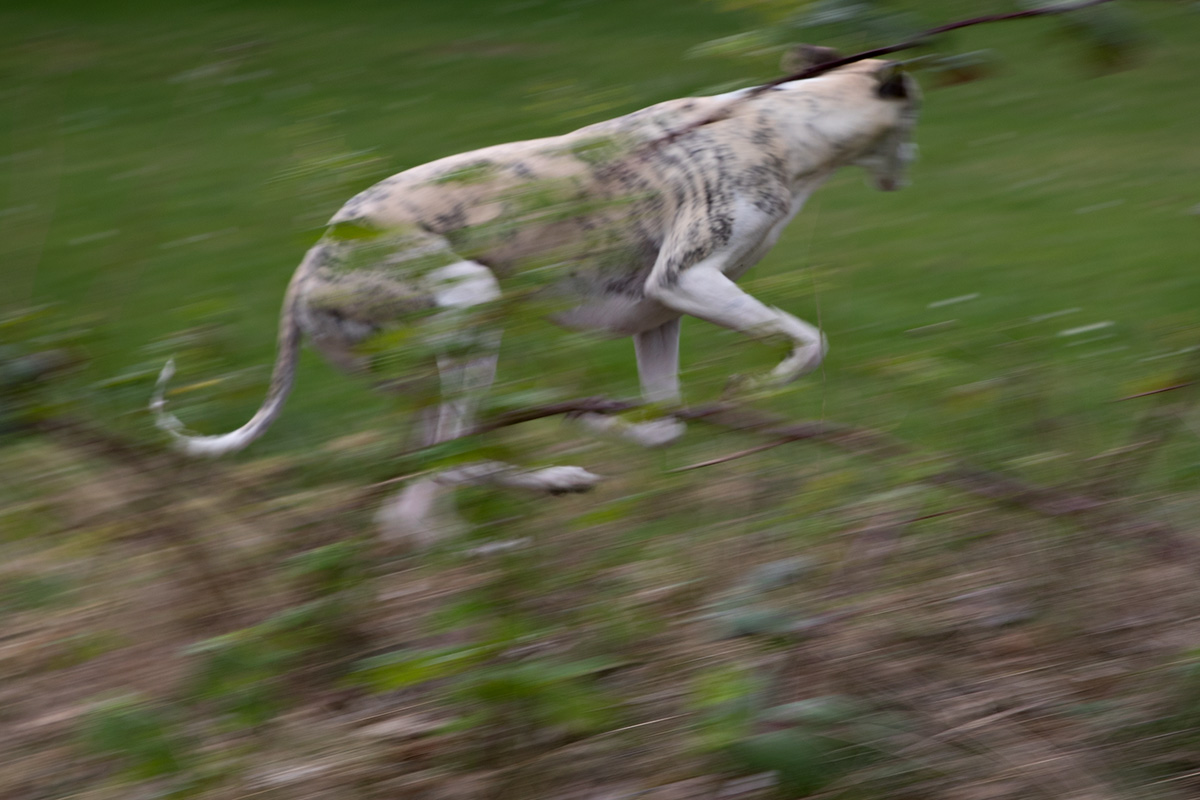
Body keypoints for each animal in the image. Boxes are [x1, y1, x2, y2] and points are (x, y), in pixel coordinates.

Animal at [150, 50, 916, 546]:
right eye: (916, 117)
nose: (908, 176)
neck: (783, 128)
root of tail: (308, 268)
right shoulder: (686, 279)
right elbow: (808, 342)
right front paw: (761, 382)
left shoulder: (658, 313)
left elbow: (664, 424)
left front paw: (604, 422)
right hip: (469, 306)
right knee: (452, 459)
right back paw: (551, 481)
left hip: (421, 373)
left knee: (421, 490)